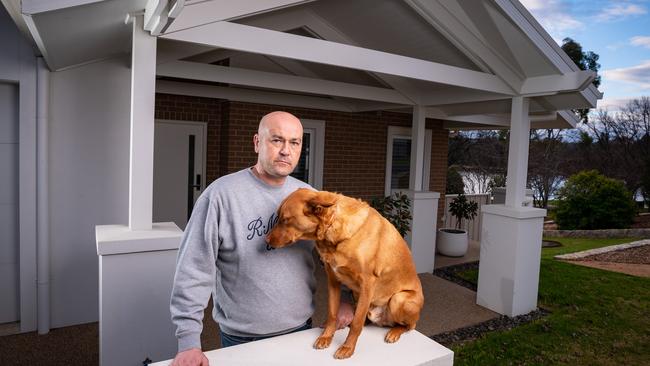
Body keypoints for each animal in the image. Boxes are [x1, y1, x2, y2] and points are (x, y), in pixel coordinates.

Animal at [266, 190, 422, 358]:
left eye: (285, 219)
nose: (266, 240)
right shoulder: (333, 280)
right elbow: (333, 313)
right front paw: (326, 337)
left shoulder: (367, 285)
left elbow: (356, 323)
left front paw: (348, 347)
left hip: (398, 299)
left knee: (409, 325)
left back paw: (394, 332)